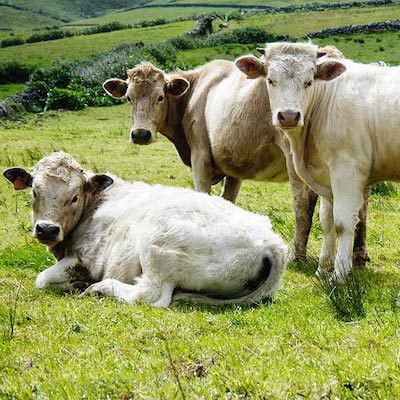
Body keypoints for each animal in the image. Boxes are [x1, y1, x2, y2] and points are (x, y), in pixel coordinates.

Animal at [1, 152, 286, 308]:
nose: (47, 229)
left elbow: (42, 279)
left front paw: (77, 281)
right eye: (34, 192)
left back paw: (99, 288)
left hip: (158, 244)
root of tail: (272, 244)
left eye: (74, 197)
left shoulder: (86, 260)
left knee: (151, 295)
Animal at [103, 57, 368, 264]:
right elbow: (226, 201)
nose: (140, 134)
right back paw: (359, 254)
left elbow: (203, 196)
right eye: (128, 98)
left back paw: (297, 255)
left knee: (303, 199)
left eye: (160, 97)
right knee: (361, 201)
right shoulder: (234, 168)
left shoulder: (200, 156)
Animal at [234, 42, 390, 280]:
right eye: (270, 80)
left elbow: (343, 222)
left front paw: (339, 273)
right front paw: (323, 269)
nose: (289, 115)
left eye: (309, 82)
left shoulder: (347, 171)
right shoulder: (327, 176)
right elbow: (327, 221)